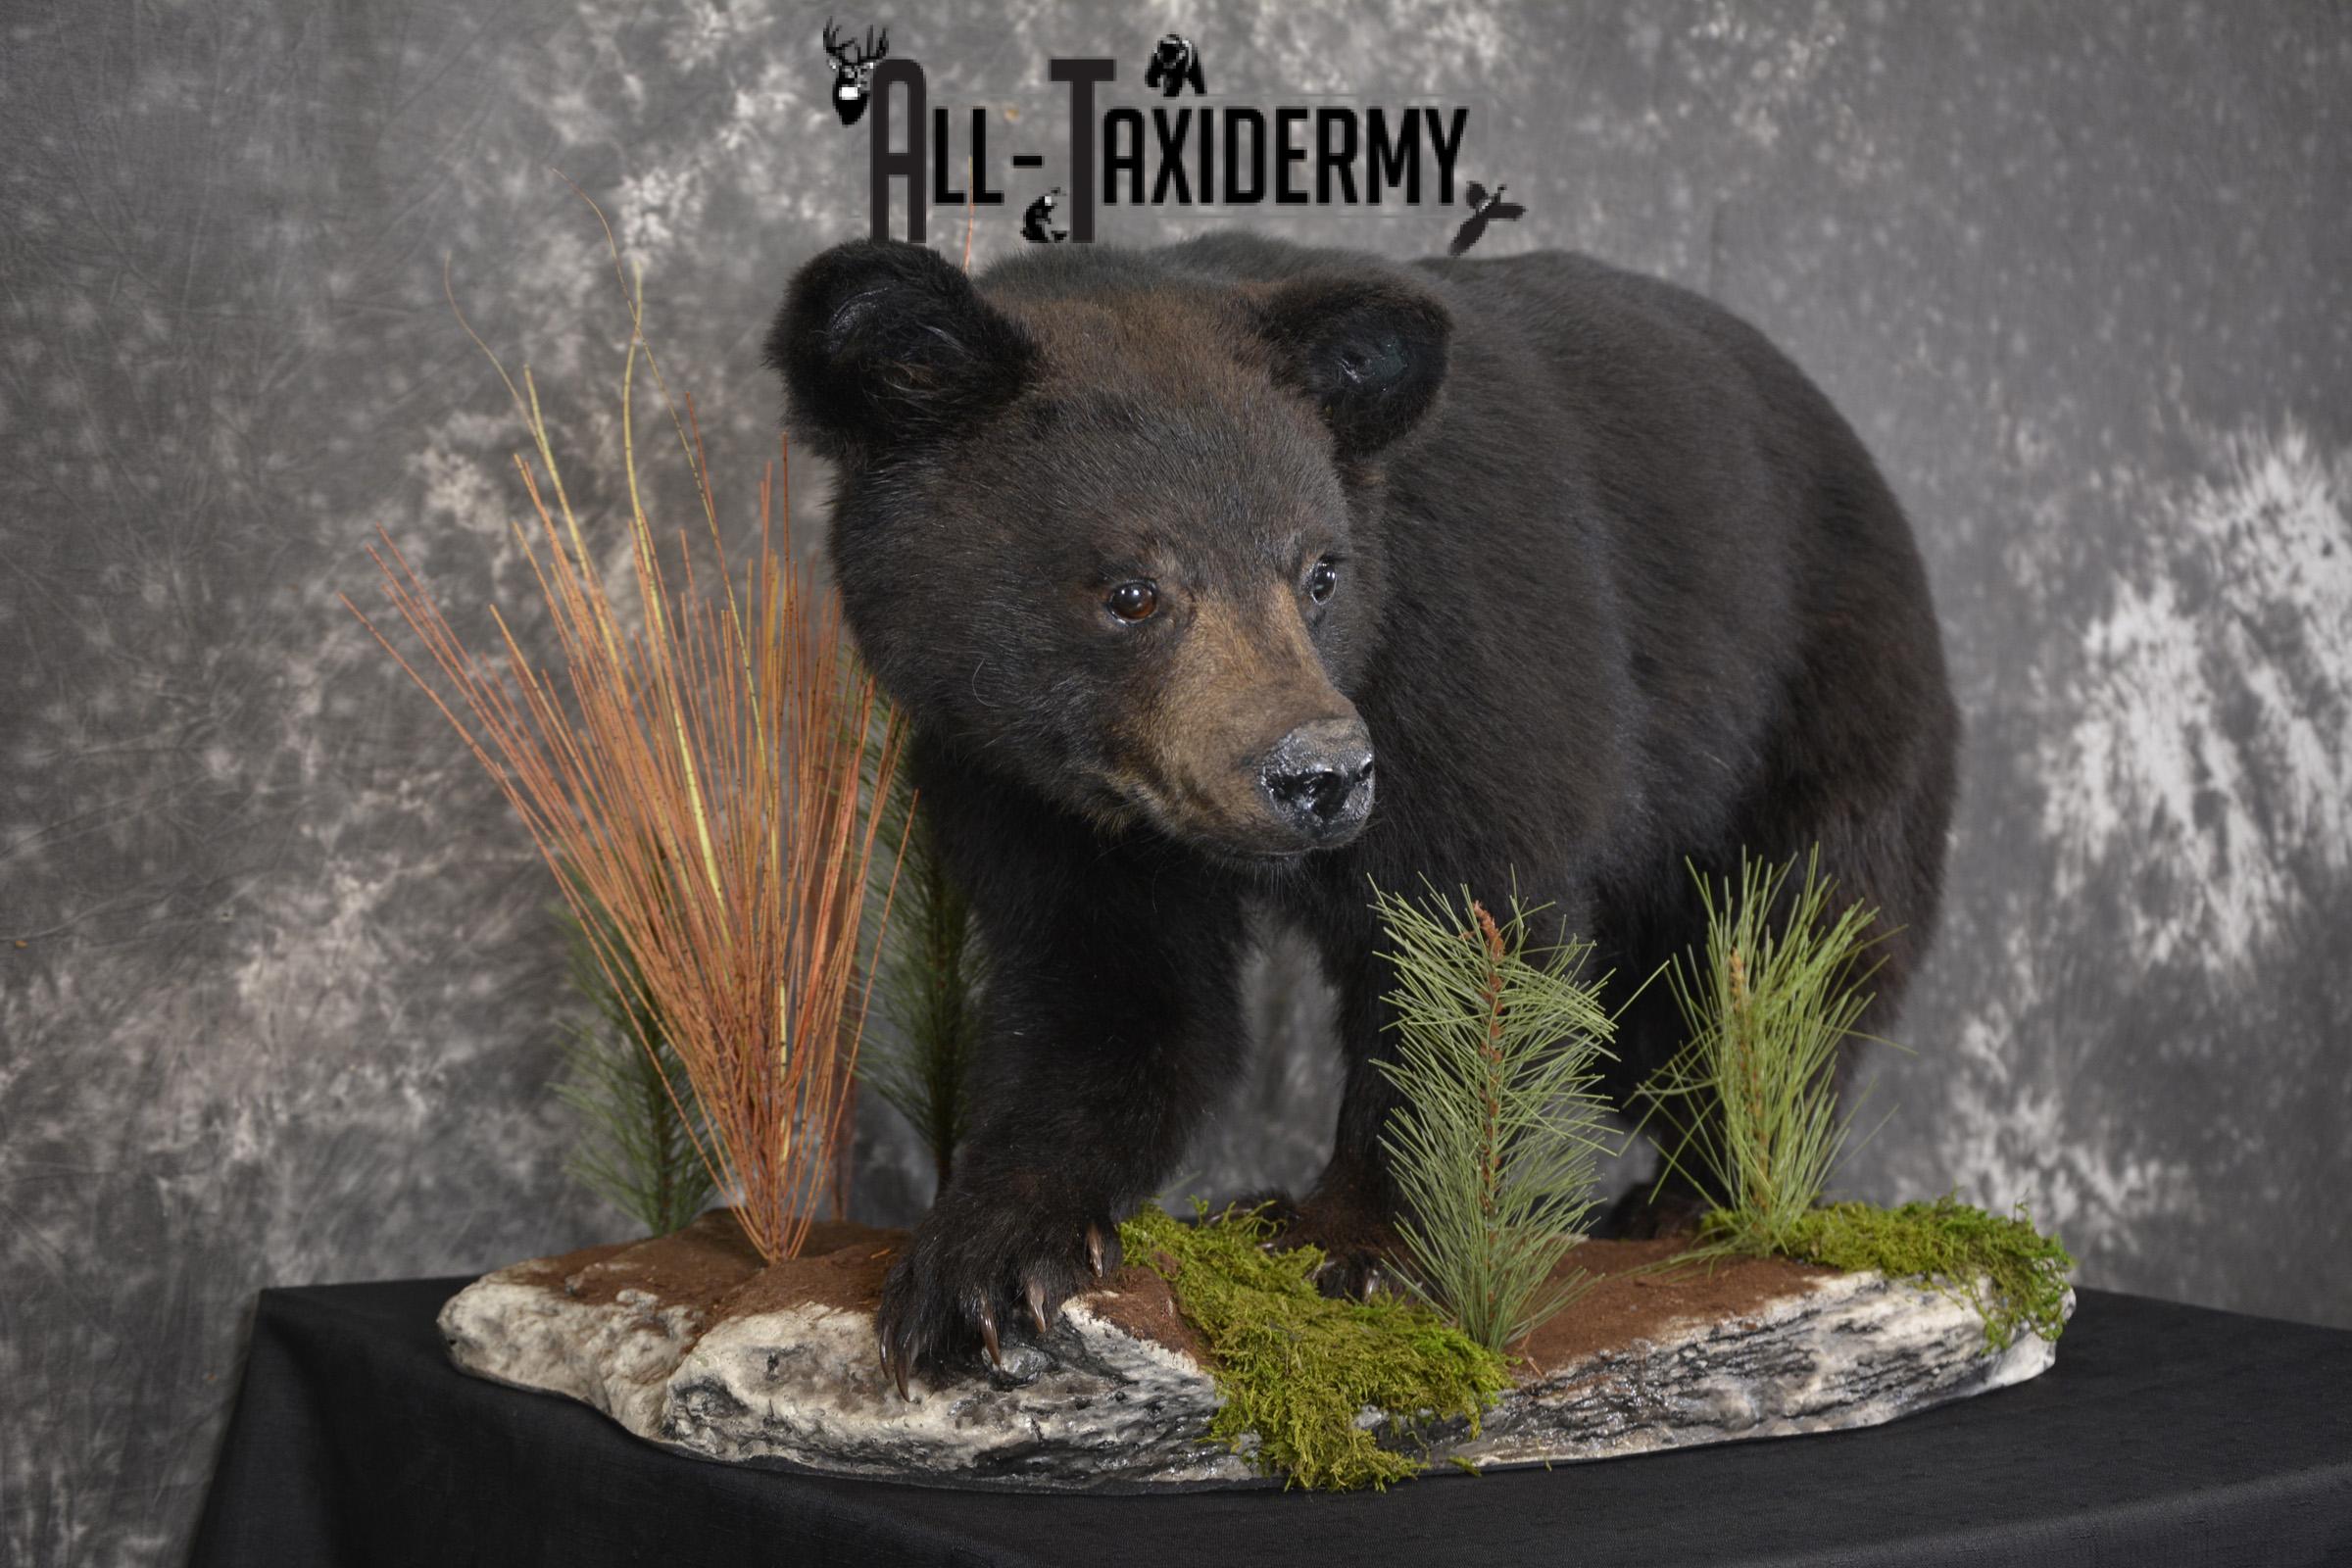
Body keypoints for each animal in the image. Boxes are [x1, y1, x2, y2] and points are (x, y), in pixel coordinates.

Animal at [767, 231, 1958, 1392]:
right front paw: (981, 1263)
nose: (1321, 772)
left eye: (1320, 572)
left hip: (1819, 724)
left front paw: (1353, 1242)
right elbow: (1106, 997)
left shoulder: (1456, 662)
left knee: (1777, 962)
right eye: (1132, 590)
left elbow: (1470, 943)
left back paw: (1694, 1193)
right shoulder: (1015, 781)